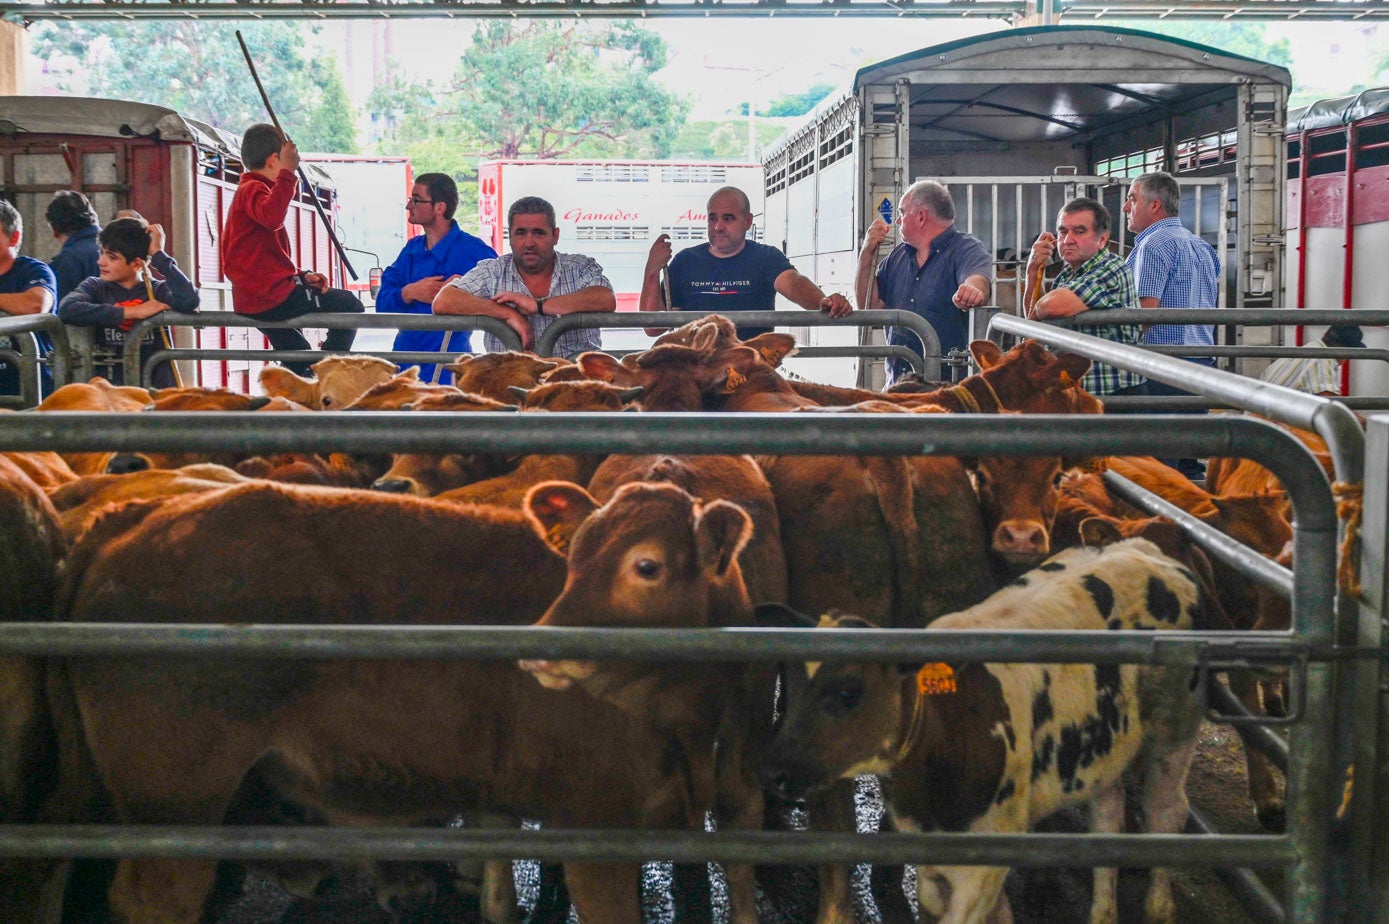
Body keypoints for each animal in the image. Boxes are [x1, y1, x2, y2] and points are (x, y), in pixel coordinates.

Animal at [761, 536, 1216, 922]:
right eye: (791, 685)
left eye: (849, 693)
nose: (774, 772)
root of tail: (1147, 550)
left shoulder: (982, 865)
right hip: (1105, 745)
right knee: (1108, 814)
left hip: (1174, 729)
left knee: (1165, 810)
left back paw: (1159, 907)